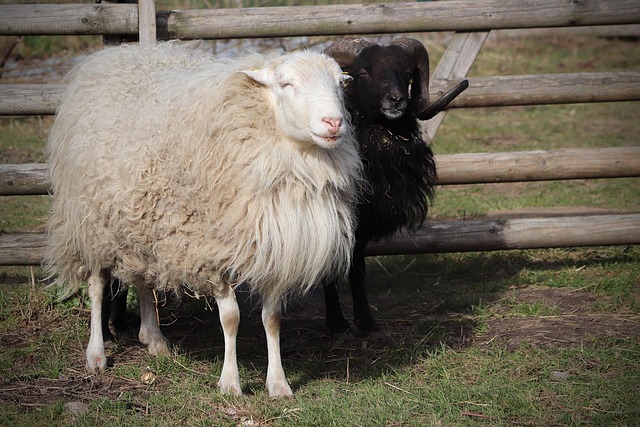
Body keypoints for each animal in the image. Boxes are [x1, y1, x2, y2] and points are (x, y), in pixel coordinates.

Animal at [45, 41, 361, 397]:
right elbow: (231, 319)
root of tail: (114, 53)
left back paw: (153, 338)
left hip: (141, 219)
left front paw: (278, 384)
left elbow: (272, 318)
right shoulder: (209, 251)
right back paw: (96, 354)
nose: (333, 122)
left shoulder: (275, 248)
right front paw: (230, 382)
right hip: (91, 221)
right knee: (97, 285)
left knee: (144, 279)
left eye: (340, 85)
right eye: (286, 83)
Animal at [323, 37, 468, 336]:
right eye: (362, 72)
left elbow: (358, 271)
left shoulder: (363, 220)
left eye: (406, 73)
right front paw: (336, 325)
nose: (396, 100)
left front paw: (367, 323)